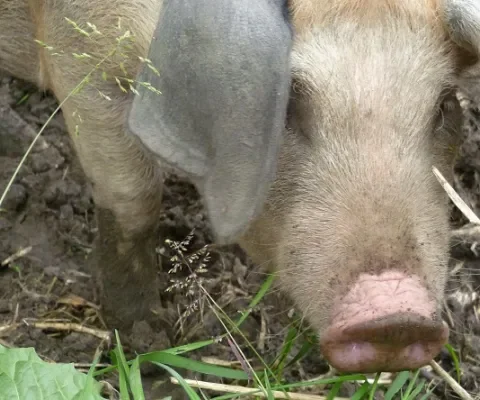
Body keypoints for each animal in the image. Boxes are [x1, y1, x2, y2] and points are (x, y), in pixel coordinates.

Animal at [0, 0, 478, 374]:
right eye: (287, 100)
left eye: (444, 106)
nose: (396, 317)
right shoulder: (83, 57)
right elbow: (133, 200)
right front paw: (148, 342)